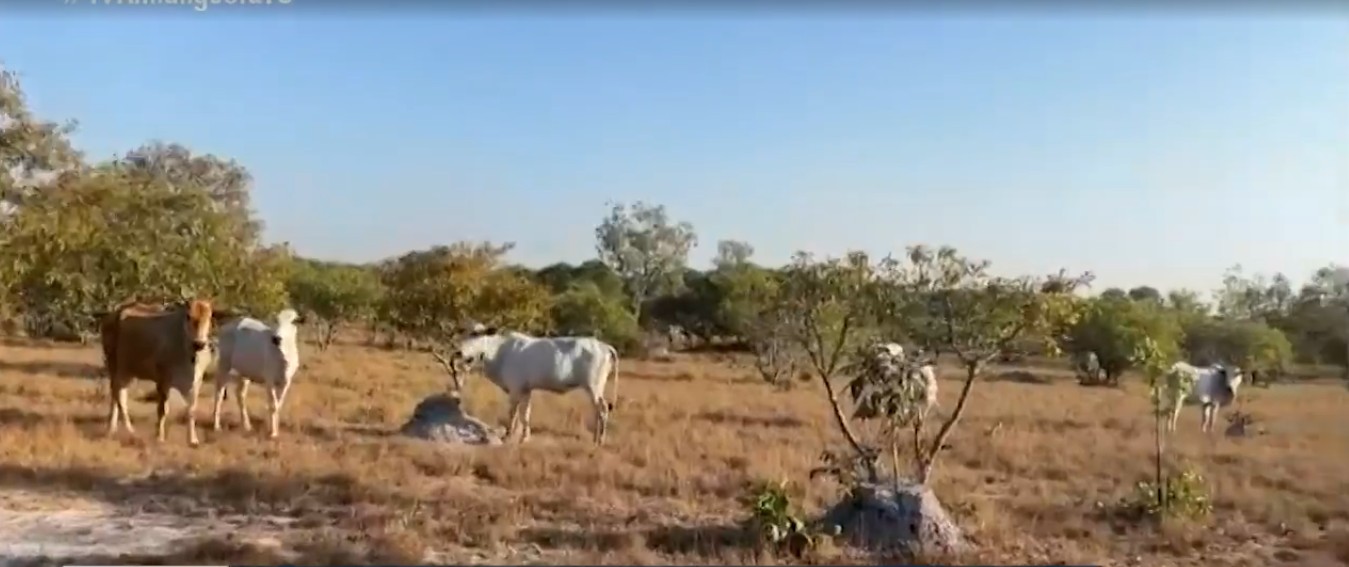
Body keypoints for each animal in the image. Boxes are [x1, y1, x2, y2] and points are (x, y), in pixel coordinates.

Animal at [98, 298, 229, 445]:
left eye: (209, 317)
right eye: (188, 316)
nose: (199, 343)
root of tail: (114, 314)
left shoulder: (196, 382)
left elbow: (191, 411)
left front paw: (193, 439)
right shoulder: (163, 381)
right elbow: (163, 410)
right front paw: (159, 437)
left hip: (128, 371)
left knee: (119, 395)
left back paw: (112, 429)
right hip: (114, 365)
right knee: (117, 395)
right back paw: (128, 430)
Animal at [209, 307, 304, 437]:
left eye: (293, 321)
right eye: (276, 320)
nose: (276, 339)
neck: (283, 357)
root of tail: (228, 326)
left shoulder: (286, 382)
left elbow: (278, 405)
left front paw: (275, 429)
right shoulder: (269, 381)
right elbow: (273, 405)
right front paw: (272, 433)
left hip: (244, 373)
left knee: (240, 394)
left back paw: (247, 425)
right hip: (224, 364)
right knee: (219, 392)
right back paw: (216, 426)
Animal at [442, 325, 620, 445]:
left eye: (476, 335)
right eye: (465, 333)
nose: (459, 352)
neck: (500, 352)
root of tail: (605, 346)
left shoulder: (515, 390)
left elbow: (513, 414)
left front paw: (508, 436)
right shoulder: (526, 390)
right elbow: (525, 414)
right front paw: (524, 436)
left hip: (594, 387)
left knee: (603, 409)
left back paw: (599, 440)